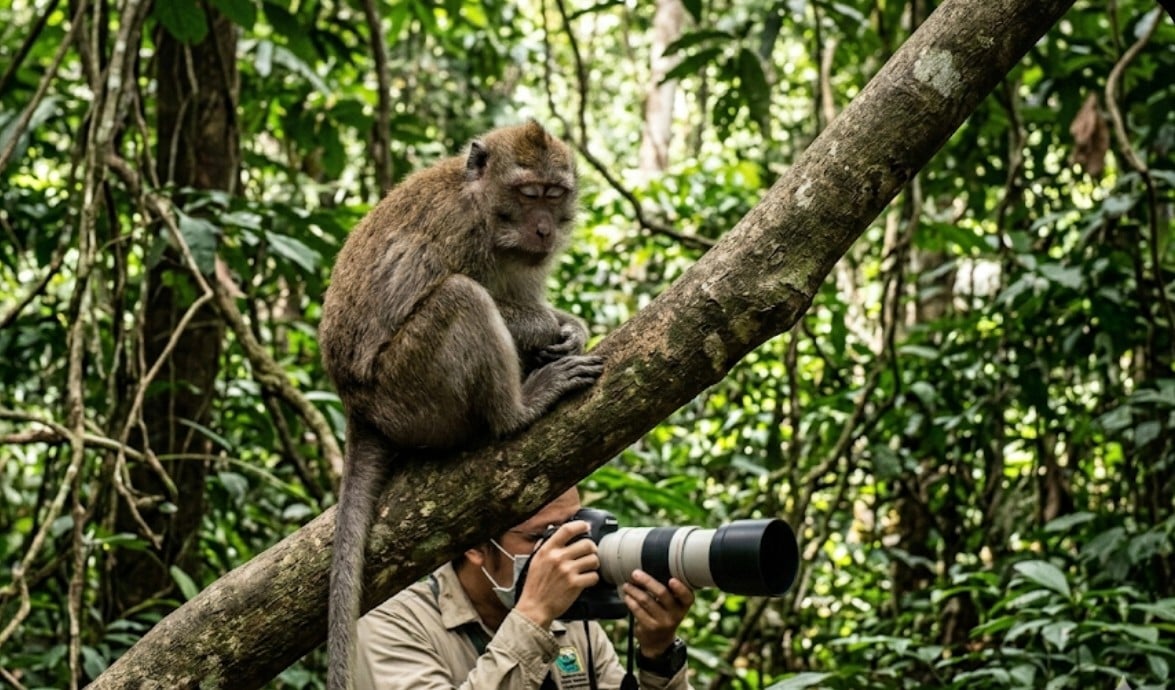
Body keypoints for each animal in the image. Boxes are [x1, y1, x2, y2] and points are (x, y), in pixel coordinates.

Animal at [317, 121, 604, 690]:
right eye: (528, 193)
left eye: (554, 194)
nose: (544, 229)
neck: (486, 209)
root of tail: (358, 407)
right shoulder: (462, 233)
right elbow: (484, 297)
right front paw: (551, 325)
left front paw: (572, 327)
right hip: (410, 392)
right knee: (461, 297)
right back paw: (518, 410)